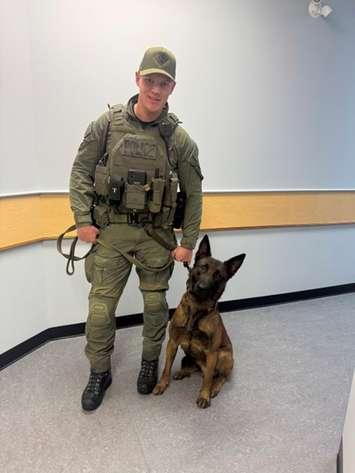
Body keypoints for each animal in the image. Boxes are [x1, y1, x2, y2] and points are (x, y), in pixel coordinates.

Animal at [154, 234, 246, 408]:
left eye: (219, 276)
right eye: (203, 268)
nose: (202, 287)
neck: (197, 309)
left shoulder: (212, 353)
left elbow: (208, 379)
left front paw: (204, 395)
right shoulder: (172, 343)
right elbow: (166, 368)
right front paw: (162, 384)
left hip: (224, 355)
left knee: (218, 376)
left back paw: (214, 388)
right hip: (188, 356)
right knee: (194, 368)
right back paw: (183, 372)